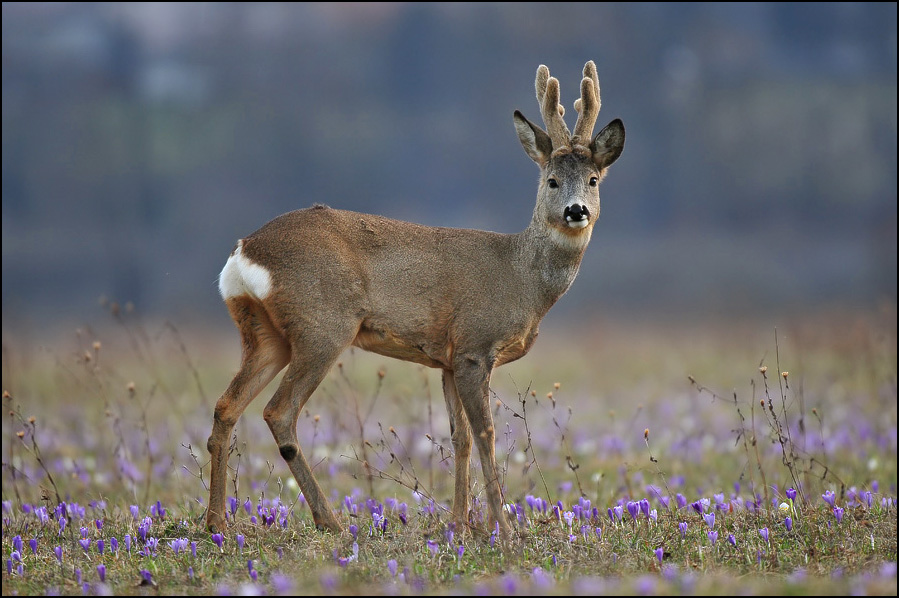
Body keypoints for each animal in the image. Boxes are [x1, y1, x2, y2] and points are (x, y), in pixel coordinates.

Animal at [206, 61, 624, 544]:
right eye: (552, 180)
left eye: (593, 179)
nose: (577, 210)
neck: (521, 278)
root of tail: (244, 251)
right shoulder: (474, 347)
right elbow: (485, 433)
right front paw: (502, 528)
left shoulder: (447, 360)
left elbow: (459, 437)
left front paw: (460, 524)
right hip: (322, 326)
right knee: (279, 412)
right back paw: (329, 521)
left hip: (264, 334)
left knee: (226, 405)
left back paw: (215, 521)